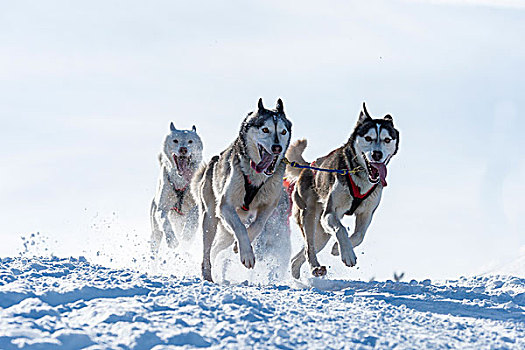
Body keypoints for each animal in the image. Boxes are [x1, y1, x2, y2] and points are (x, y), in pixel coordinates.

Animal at [150, 123, 204, 254]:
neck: (180, 182)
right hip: (155, 233)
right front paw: (172, 240)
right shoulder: (162, 208)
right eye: (175, 140)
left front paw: (186, 235)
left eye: (190, 141)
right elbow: (164, 221)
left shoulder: (197, 206)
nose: (183, 149)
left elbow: (192, 218)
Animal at [191, 98, 292, 282]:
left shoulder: (268, 207)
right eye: (265, 129)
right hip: (210, 219)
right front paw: (247, 254)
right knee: (207, 249)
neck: (256, 176)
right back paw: (207, 273)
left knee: (216, 247)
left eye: (283, 131)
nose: (277, 148)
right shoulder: (226, 206)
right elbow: (240, 228)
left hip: (225, 232)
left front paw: (240, 247)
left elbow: (257, 225)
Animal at [284, 103, 400, 278]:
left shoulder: (366, 214)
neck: (360, 178)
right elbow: (342, 229)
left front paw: (337, 249)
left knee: (299, 256)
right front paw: (347, 253)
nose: (377, 154)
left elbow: (359, 236)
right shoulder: (330, 213)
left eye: (387, 140)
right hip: (309, 215)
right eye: (368, 138)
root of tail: (308, 167)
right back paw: (315, 267)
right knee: (309, 247)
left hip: (322, 234)